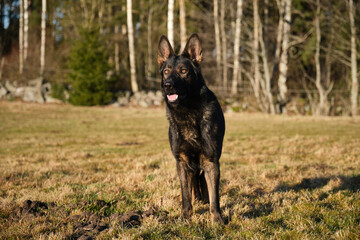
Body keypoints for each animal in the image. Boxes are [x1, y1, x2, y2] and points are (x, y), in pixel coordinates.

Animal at [158, 33, 225, 223]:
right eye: (166, 71)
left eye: (183, 71)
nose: (168, 85)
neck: (187, 112)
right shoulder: (182, 163)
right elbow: (185, 194)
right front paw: (185, 217)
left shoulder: (211, 162)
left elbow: (215, 196)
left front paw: (217, 219)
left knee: (201, 180)